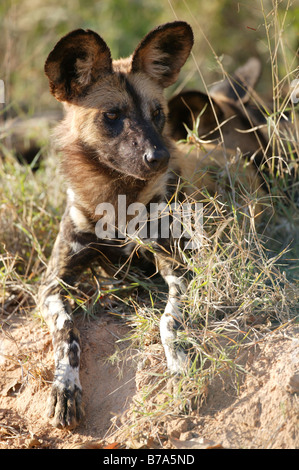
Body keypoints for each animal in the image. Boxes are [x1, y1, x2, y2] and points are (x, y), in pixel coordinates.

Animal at [38, 20, 264, 428]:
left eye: (157, 112)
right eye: (112, 115)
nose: (158, 156)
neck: (117, 197)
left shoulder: (181, 270)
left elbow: (168, 323)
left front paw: (181, 370)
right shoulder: (52, 284)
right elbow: (66, 332)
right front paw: (64, 387)